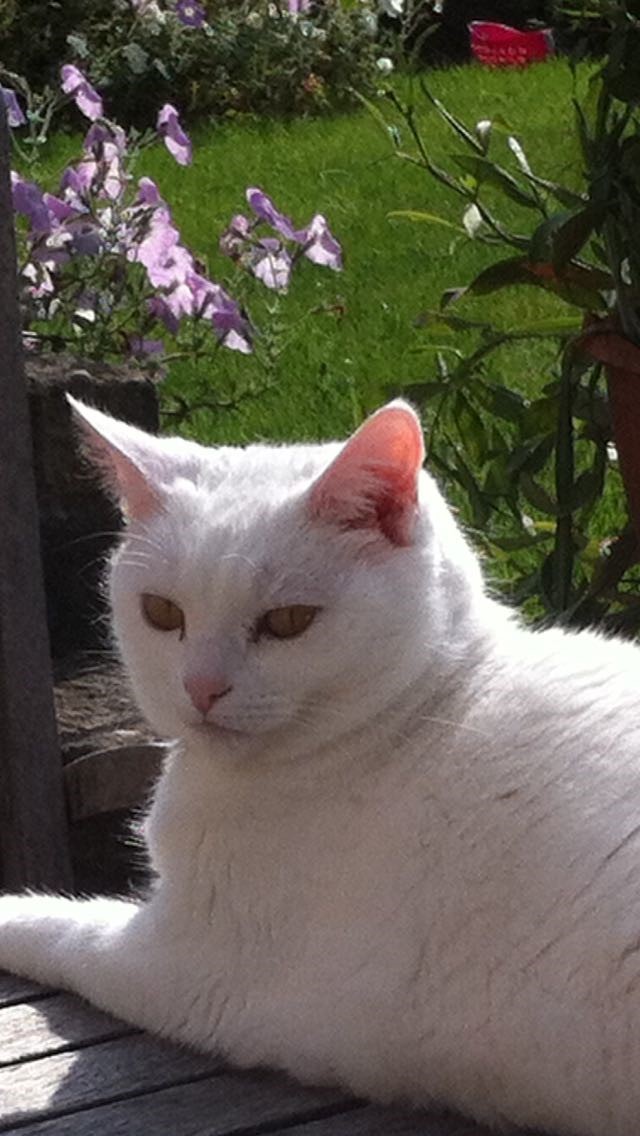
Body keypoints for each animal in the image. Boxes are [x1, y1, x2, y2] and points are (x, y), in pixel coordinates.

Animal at [1, 402, 640, 1136]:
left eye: (287, 623)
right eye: (161, 613)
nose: (202, 688)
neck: (427, 707)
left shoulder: (185, 966)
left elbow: (62, 927)